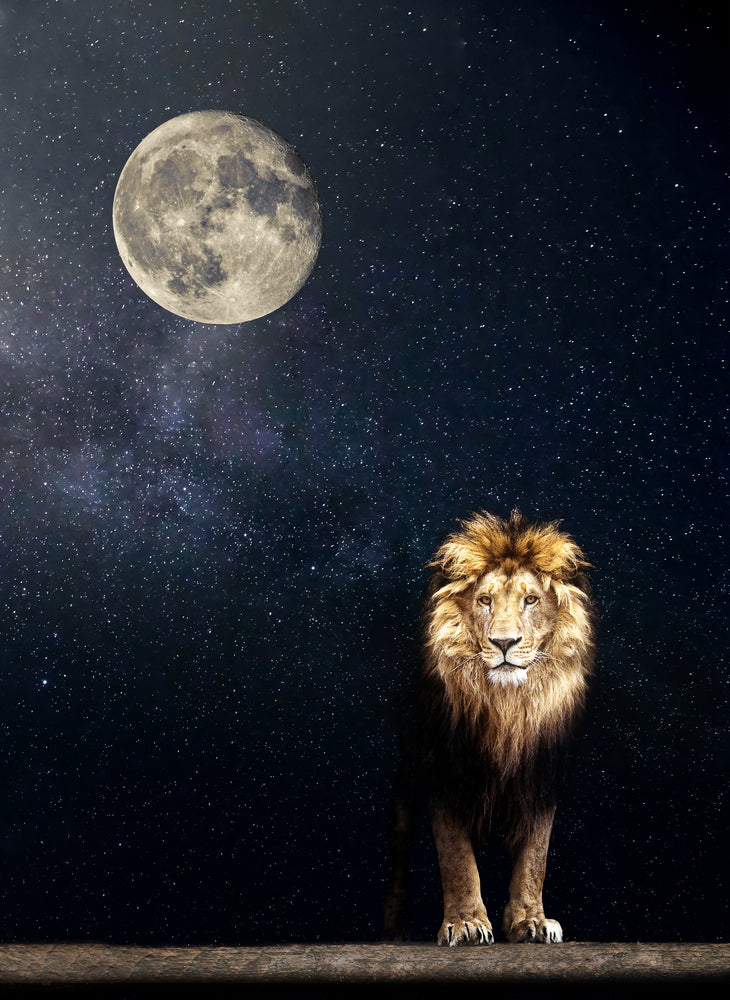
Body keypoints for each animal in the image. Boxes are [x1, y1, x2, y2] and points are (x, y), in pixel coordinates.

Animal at [384, 509, 594, 946]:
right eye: (485, 600)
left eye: (531, 600)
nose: (504, 642)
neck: (506, 707)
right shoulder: (443, 769)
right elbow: (457, 857)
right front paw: (465, 922)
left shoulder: (540, 775)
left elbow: (535, 857)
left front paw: (531, 921)